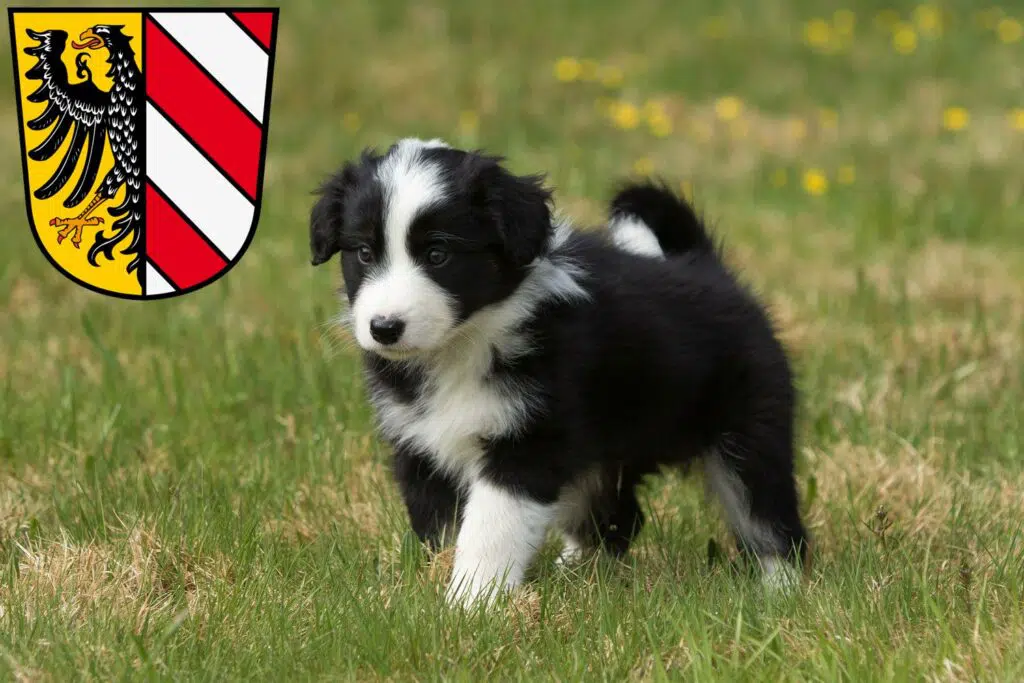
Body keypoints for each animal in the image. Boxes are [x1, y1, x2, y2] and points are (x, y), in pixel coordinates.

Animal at [309, 136, 806, 606]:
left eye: (437, 255)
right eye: (364, 253)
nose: (384, 328)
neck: (465, 344)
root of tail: (709, 269)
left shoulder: (528, 440)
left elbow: (489, 528)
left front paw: (471, 603)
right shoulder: (422, 446)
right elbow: (441, 526)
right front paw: (438, 585)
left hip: (748, 432)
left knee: (769, 516)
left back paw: (781, 591)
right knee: (618, 518)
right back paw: (580, 574)